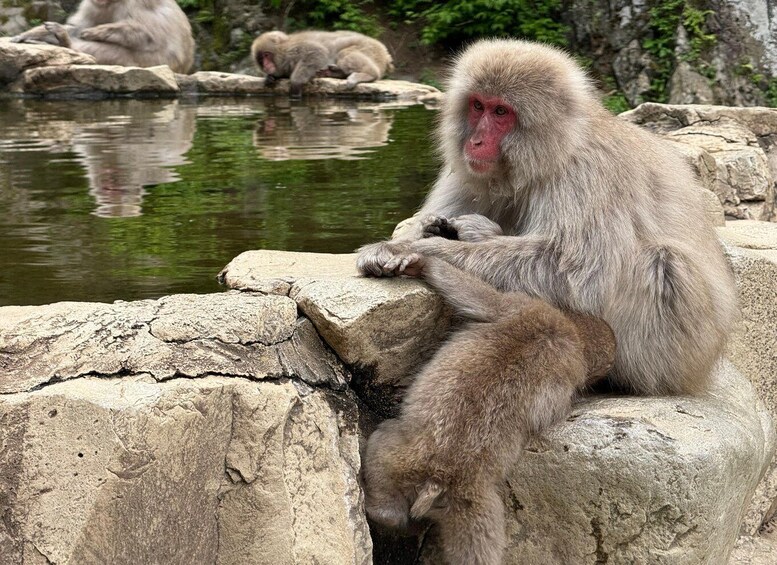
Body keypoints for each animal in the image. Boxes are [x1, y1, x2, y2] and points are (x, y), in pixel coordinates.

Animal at [11, 0, 195, 74]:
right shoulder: (92, 3)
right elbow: (78, 25)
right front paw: (34, 33)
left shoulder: (139, 2)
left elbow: (148, 35)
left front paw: (93, 32)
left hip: (154, 62)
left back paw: (67, 43)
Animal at [251, 30, 393, 97]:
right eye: (260, 59)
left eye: (266, 55)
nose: (266, 65)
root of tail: (386, 53)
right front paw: (269, 77)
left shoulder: (293, 49)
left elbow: (317, 52)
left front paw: (296, 82)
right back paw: (334, 72)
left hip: (371, 49)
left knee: (345, 53)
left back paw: (368, 74)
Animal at [357, 39, 739, 397]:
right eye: (478, 105)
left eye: (501, 112)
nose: (475, 141)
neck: (556, 149)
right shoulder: (470, 170)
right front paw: (428, 230)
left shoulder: (588, 173)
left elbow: (572, 270)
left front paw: (413, 249)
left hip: (685, 352)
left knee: (663, 261)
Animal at [364, 255, 616, 565]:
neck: (568, 329)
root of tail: (438, 477)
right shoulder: (526, 307)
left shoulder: (524, 312)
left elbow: (474, 294)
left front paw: (420, 265)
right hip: (428, 475)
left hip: (424, 476)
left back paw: (387, 516)